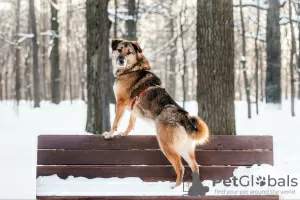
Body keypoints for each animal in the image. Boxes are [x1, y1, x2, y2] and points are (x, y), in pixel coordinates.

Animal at [102, 38, 209, 188]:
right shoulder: (133, 108)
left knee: (180, 168)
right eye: (119, 49)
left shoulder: (121, 102)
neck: (132, 69)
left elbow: (116, 121)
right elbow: (131, 123)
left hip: (167, 146)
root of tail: (184, 117)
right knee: (195, 167)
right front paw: (124, 133)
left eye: (129, 52)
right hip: (185, 149)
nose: (121, 60)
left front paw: (110, 134)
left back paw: (175, 187)